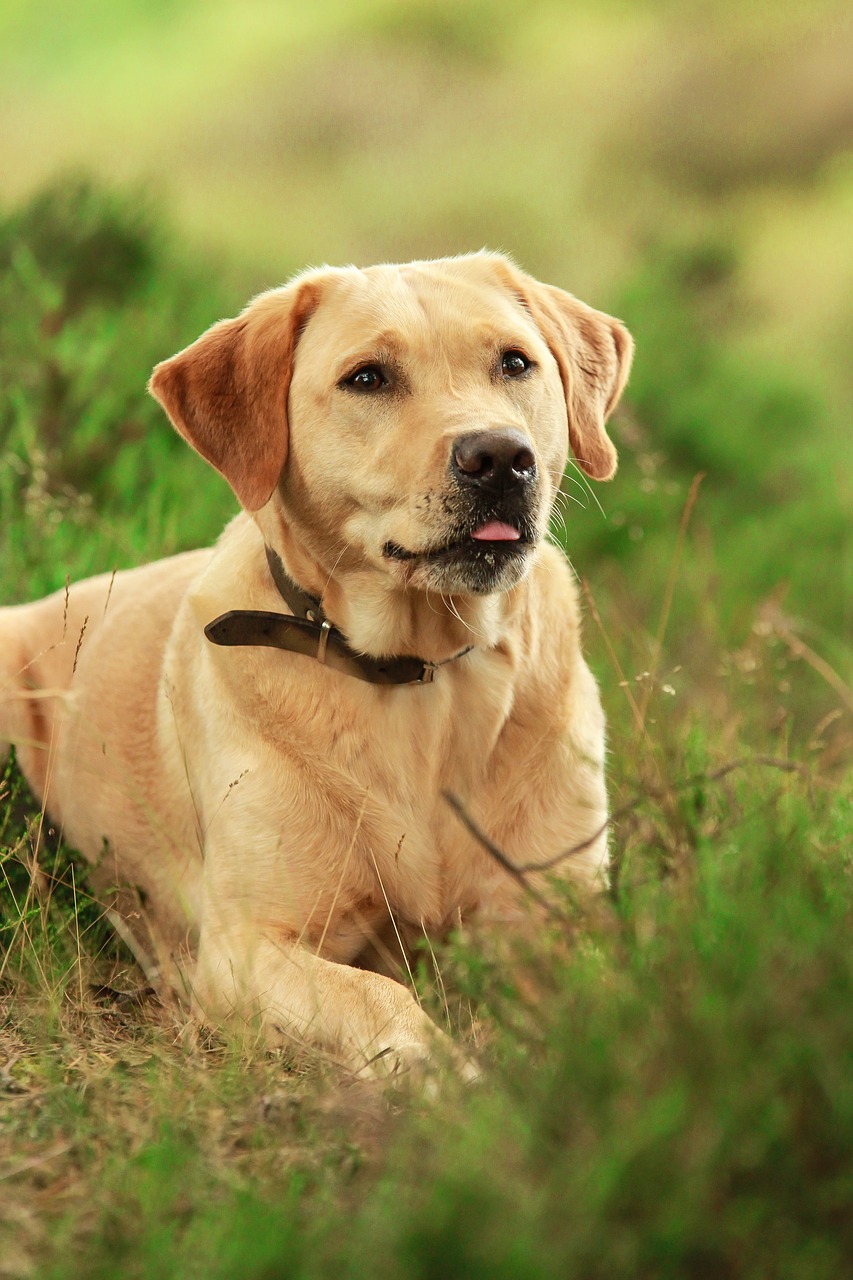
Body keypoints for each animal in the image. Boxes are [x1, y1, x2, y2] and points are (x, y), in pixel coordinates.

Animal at [0, 254, 625, 1075]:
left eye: (515, 363)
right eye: (367, 378)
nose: (499, 458)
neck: (422, 673)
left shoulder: (556, 923)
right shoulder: (244, 948)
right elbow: (379, 996)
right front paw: (455, 1081)